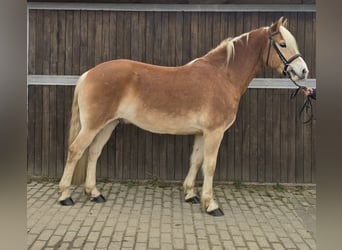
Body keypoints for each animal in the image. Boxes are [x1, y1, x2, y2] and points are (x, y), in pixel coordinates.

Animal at [57, 17, 308, 216]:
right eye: (283, 44)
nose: (303, 71)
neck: (223, 76)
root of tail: (89, 73)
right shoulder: (214, 132)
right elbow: (209, 165)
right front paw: (211, 204)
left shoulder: (201, 133)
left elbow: (195, 160)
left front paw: (190, 195)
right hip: (93, 126)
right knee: (76, 150)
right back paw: (65, 196)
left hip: (108, 124)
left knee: (93, 153)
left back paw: (94, 193)